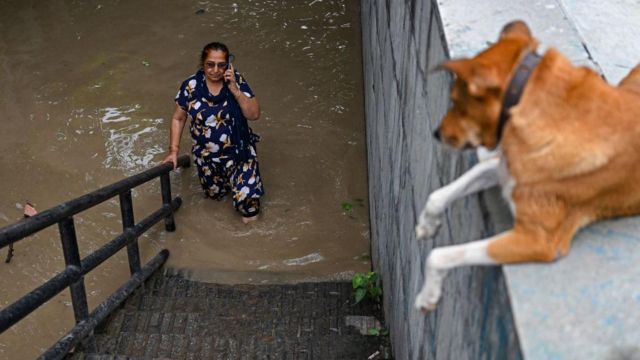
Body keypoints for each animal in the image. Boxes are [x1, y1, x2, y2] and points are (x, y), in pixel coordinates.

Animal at [412, 20, 640, 312]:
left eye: (454, 100)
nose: (436, 133)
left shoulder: (539, 240)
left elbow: (440, 254)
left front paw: (427, 295)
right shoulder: (504, 168)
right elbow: (439, 194)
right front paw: (427, 225)